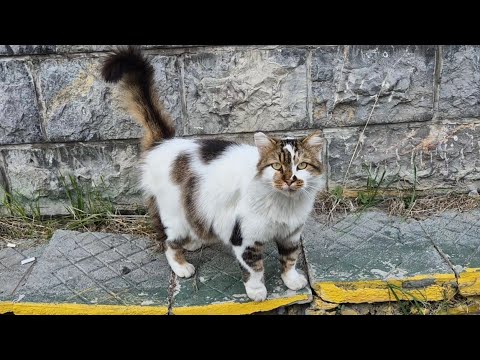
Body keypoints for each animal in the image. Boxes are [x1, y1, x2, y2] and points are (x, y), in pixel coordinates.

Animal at [101, 46, 326, 302]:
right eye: (277, 167)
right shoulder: (245, 239)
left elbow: (290, 259)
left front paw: (292, 280)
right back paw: (181, 266)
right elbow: (254, 269)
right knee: (168, 242)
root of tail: (164, 143)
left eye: (302, 165)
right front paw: (257, 292)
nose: (290, 179)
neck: (286, 205)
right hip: (173, 214)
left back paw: (192, 243)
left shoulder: (291, 234)